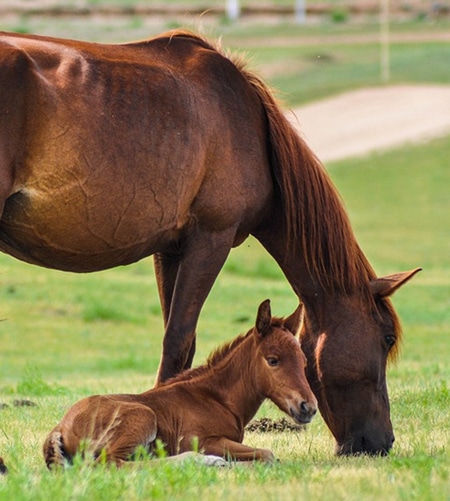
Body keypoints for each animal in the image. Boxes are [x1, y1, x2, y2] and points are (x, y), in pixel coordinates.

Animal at [43, 298, 316, 466]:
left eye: (304, 361)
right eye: (273, 360)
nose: (308, 407)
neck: (217, 399)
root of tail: (60, 428)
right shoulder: (203, 441)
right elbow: (267, 455)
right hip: (143, 417)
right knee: (111, 464)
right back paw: (203, 461)